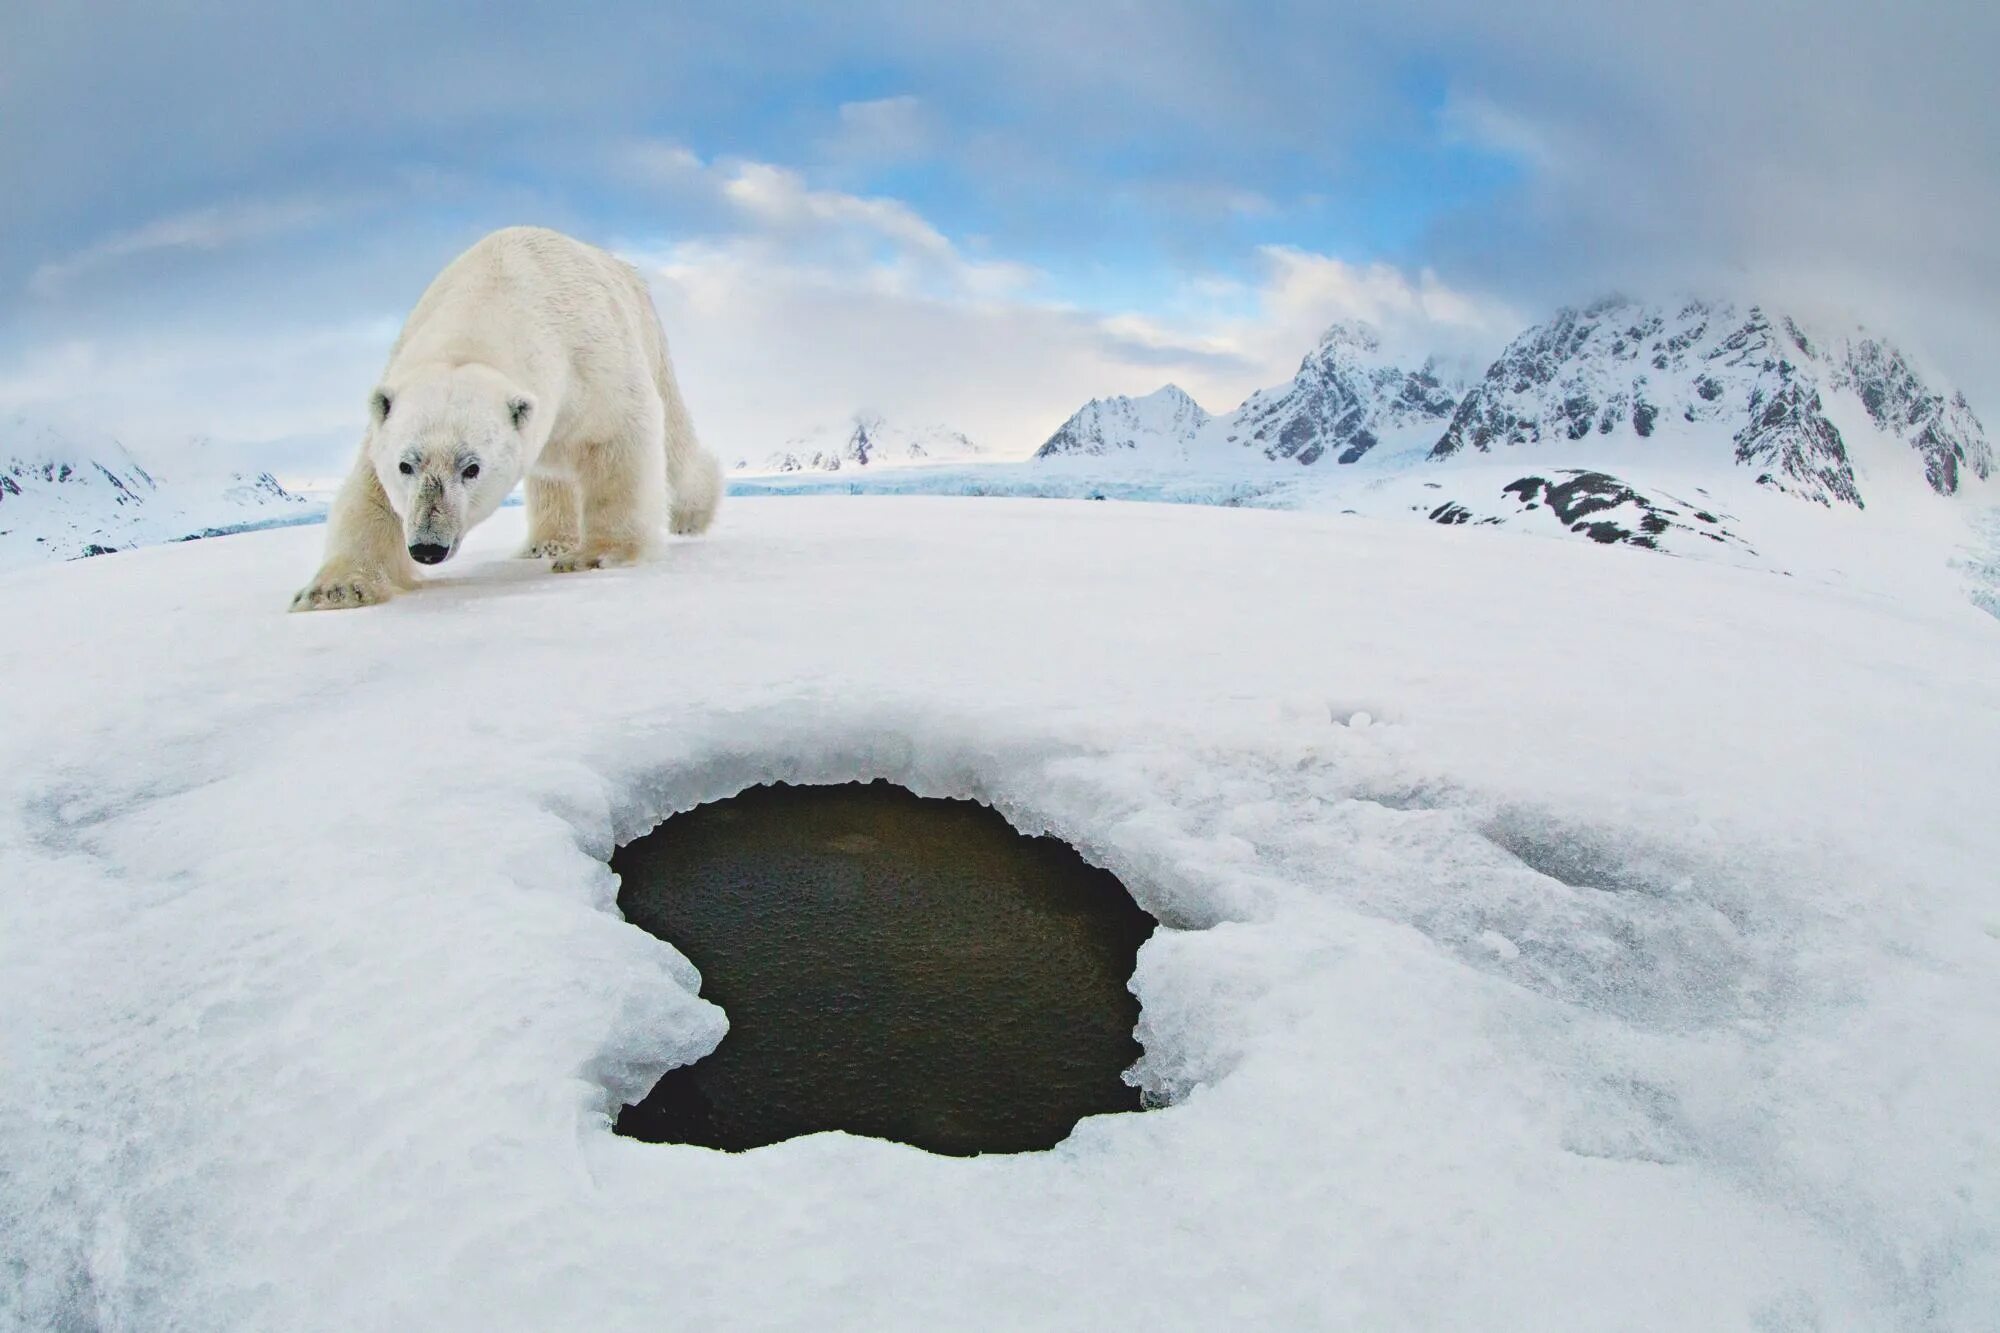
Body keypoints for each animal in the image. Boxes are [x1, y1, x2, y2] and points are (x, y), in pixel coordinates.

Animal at [282, 226, 720, 608]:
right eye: (406, 464)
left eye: (472, 468)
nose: (427, 546)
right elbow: (371, 488)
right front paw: (334, 589)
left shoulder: (590, 360)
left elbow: (616, 436)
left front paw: (597, 555)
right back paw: (546, 543)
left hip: (650, 340)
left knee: (675, 445)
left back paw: (691, 515)